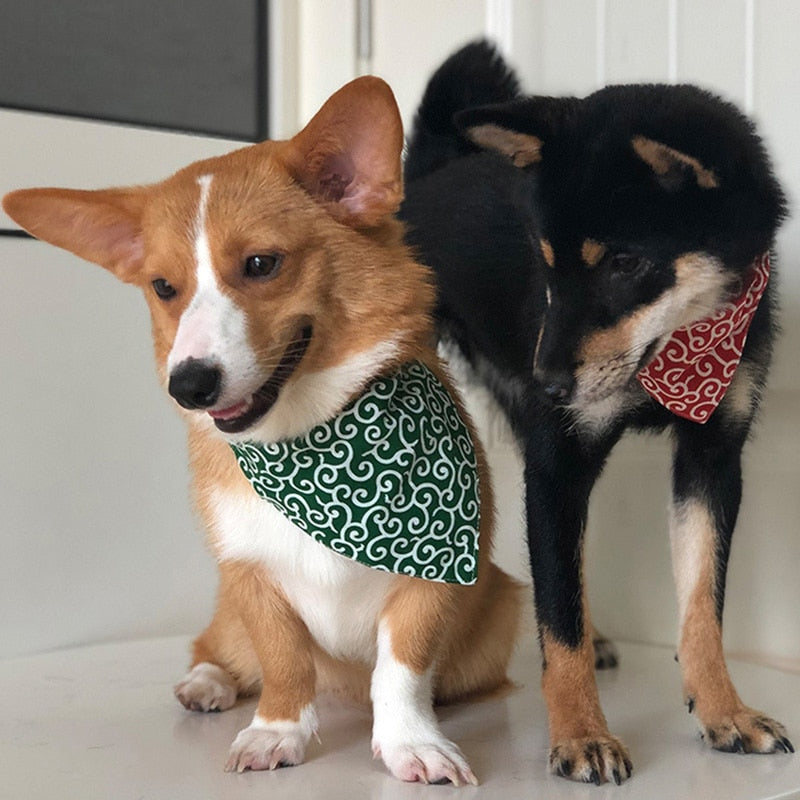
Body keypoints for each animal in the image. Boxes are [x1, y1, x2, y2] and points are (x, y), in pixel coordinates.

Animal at [404, 40, 792, 784]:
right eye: (546, 262)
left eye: (625, 262)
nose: (549, 382)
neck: (674, 357)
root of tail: (429, 172)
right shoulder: (559, 464)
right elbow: (559, 618)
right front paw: (581, 733)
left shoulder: (711, 459)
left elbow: (702, 606)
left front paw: (723, 712)